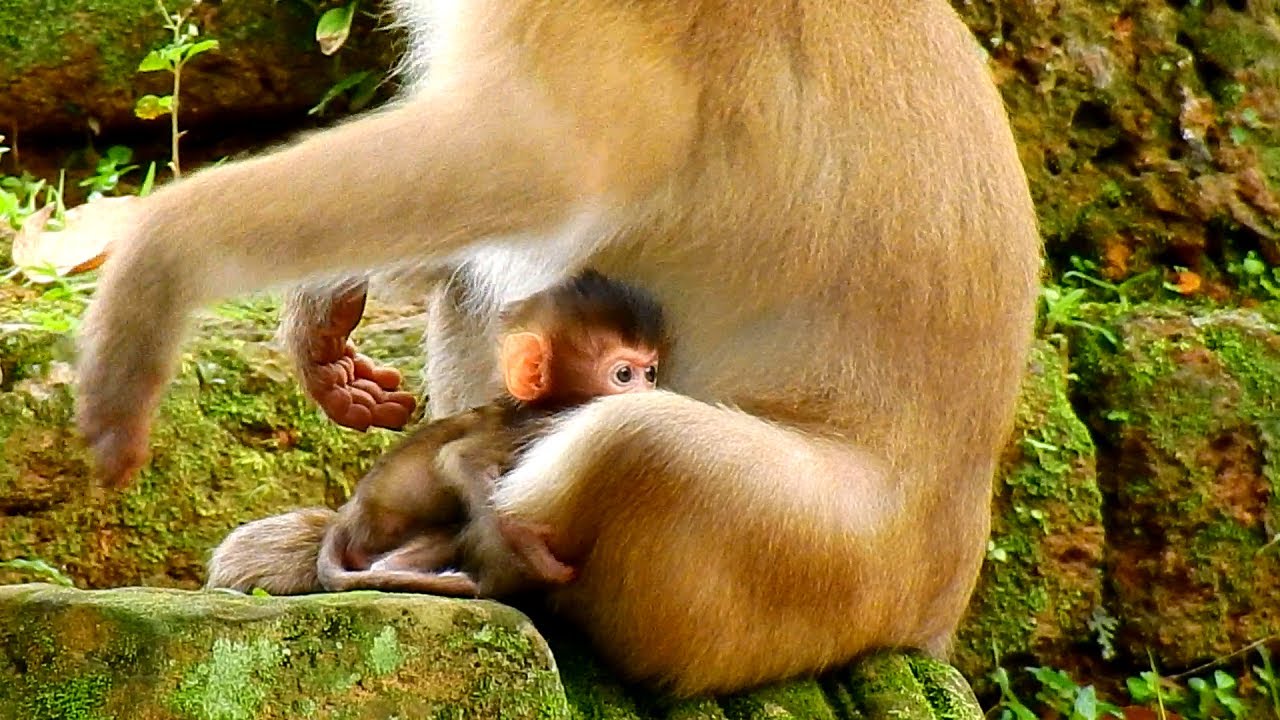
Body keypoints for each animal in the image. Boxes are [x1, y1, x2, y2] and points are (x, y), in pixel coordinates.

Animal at [315, 269, 666, 598]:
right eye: (624, 375)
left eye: (650, 373)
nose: (649, 391)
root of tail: (348, 515)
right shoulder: (542, 427)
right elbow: (461, 457)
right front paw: (532, 553)